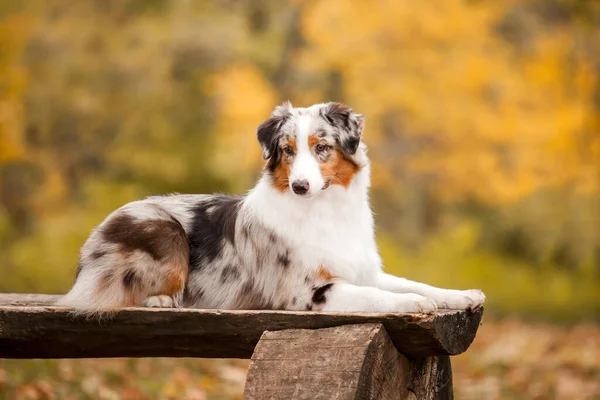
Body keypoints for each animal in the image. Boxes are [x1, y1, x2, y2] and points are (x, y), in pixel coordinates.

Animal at [58, 102, 486, 316]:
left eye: (321, 147)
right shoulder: (309, 291)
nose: (299, 186)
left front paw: (460, 295)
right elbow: (381, 297)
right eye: (288, 150)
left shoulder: (364, 270)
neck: (326, 210)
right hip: (163, 229)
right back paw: (162, 300)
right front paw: (413, 304)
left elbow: (414, 282)